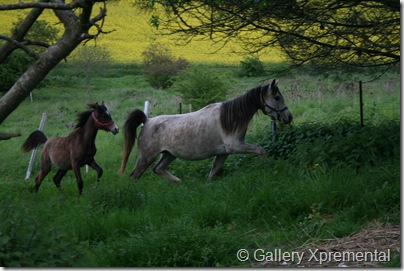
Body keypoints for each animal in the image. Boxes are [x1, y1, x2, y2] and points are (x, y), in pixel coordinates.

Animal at [118, 79, 292, 184]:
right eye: (277, 97)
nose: (288, 117)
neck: (230, 118)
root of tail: (147, 121)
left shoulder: (223, 152)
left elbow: (213, 171)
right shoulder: (235, 146)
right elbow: (261, 151)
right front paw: (267, 167)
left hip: (169, 154)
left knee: (158, 169)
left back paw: (179, 182)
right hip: (146, 156)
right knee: (134, 176)